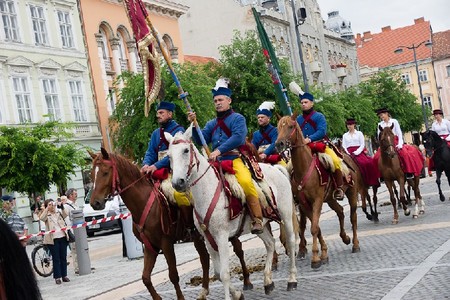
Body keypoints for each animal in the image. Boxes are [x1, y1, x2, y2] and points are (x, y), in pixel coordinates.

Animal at [89, 148, 256, 300]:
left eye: (105, 172)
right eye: (91, 174)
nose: (95, 203)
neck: (144, 203)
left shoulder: (166, 243)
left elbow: (173, 275)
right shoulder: (151, 247)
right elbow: (145, 278)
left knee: (238, 250)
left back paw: (247, 281)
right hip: (199, 237)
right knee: (204, 259)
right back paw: (204, 290)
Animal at [165, 125, 298, 300]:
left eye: (186, 150)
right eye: (169, 155)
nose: (177, 183)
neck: (207, 191)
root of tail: (276, 169)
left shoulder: (222, 237)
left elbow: (225, 273)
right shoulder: (208, 239)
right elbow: (217, 272)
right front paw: (237, 294)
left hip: (286, 216)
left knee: (290, 241)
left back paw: (292, 279)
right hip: (261, 225)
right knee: (270, 244)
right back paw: (268, 282)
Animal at [274, 116, 362, 268]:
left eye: (291, 126)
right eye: (278, 128)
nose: (279, 144)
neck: (303, 169)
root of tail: (346, 156)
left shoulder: (317, 201)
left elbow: (314, 228)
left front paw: (316, 258)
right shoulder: (304, 204)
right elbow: (315, 226)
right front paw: (323, 253)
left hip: (351, 193)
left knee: (353, 217)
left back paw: (355, 244)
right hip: (330, 199)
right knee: (340, 211)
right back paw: (345, 238)